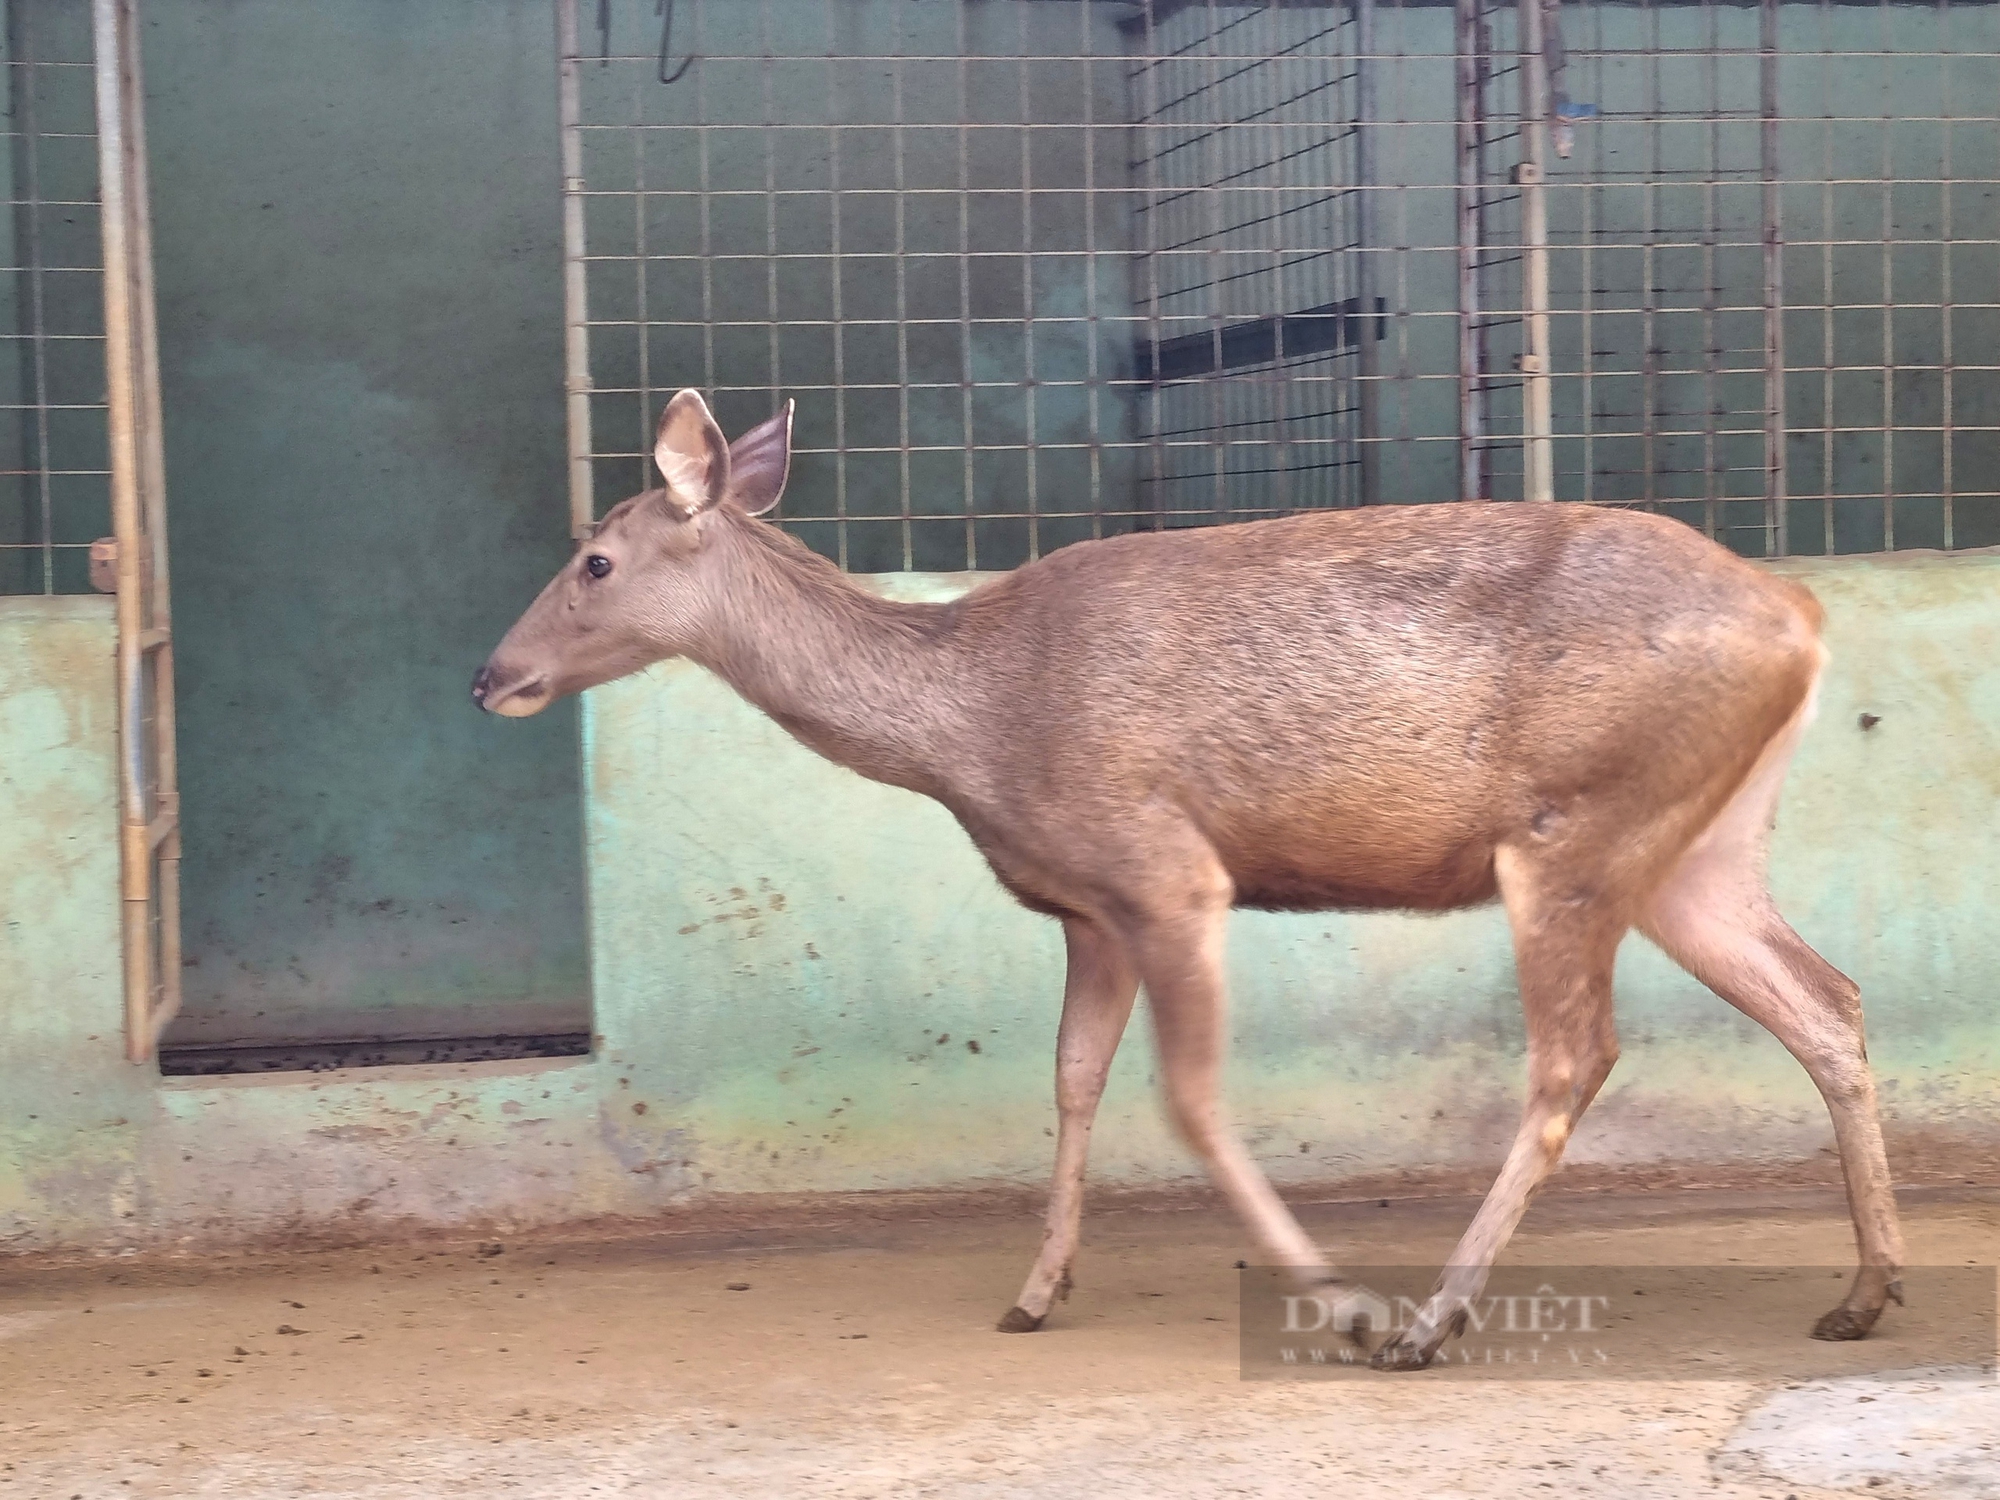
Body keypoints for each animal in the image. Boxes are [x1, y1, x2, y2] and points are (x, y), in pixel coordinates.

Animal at [468, 390, 1904, 1376]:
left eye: (595, 559)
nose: (491, 674)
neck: (971, 729)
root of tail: (1799, 617)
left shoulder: (1165, 870)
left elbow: (1192, 1098)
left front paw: (1344, 1305)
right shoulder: (1087, 911)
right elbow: (1071, 1080)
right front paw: (1034, 1290)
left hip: (1577, 827)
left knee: (1576, 1053)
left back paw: (1432, 1318)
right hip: (1697, 849)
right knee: (1826, 998)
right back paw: (1864, 1287)